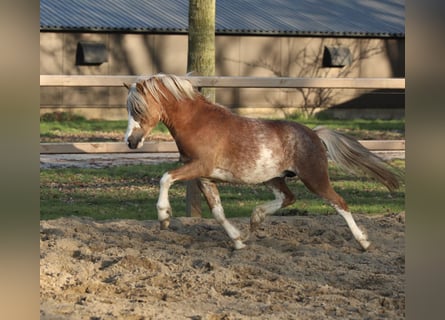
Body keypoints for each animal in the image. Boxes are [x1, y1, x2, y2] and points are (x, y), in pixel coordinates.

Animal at [122, 74, 398, 251]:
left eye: (139, 109)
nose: (130, 141)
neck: (198, 123)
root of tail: (314, 134)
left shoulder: (198, 167)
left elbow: (165, 177)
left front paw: (164, 217)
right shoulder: (205, 177)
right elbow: (218, 212)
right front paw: (238, 240)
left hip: (315, 178)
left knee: (340, 203)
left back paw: (363, 242)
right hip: (273, 178)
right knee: (288, 198)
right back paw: (255, 219)